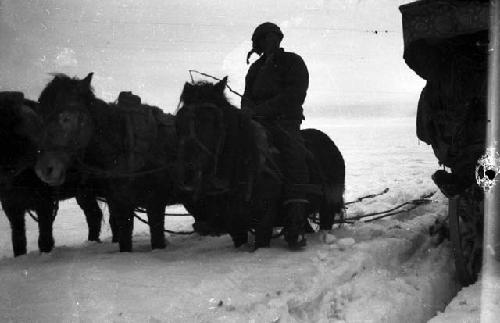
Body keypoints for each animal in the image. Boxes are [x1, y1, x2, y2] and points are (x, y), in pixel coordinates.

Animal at [0, 92, 106, 258]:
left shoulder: (45, 203)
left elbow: (44, 238)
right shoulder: (11, 207)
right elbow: (18, 239)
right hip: (83, 193)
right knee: (94, 214)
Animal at [34, 73, 188, 253]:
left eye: (66, 118)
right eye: (41, 118)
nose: (45, 169)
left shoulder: (155, 203)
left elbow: (157, 240)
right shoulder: (121, 205)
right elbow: (124, 239)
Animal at [175, 78, 344, 251]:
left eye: (209, 120)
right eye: (179, 121)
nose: (188, 174)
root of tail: (329, 143)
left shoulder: (265, 219)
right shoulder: (235, 225)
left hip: (328, 204)